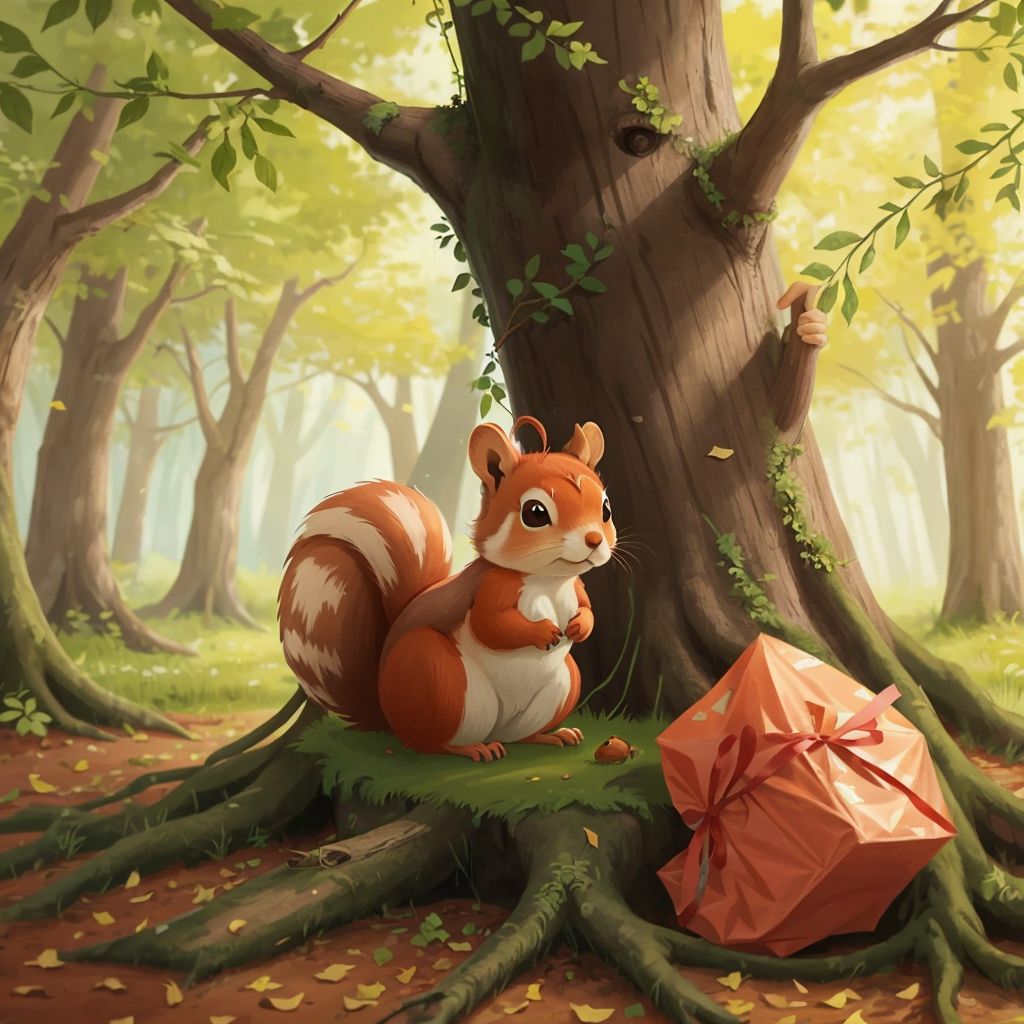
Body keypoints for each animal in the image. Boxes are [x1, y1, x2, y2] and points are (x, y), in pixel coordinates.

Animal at [278, 416, 615, 762]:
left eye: (605, 508)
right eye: (535, 513)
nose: (594, 540)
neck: (547, 580)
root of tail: (389, 717)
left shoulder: (576, 587)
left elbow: (587, 608)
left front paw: (580, 625)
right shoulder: (491, 589)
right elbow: (491, 625)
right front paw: (543, 631)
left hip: (564, 684)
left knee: (521, 735)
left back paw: (552, 735)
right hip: (435, 677)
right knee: (427, 743)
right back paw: (472, 748)